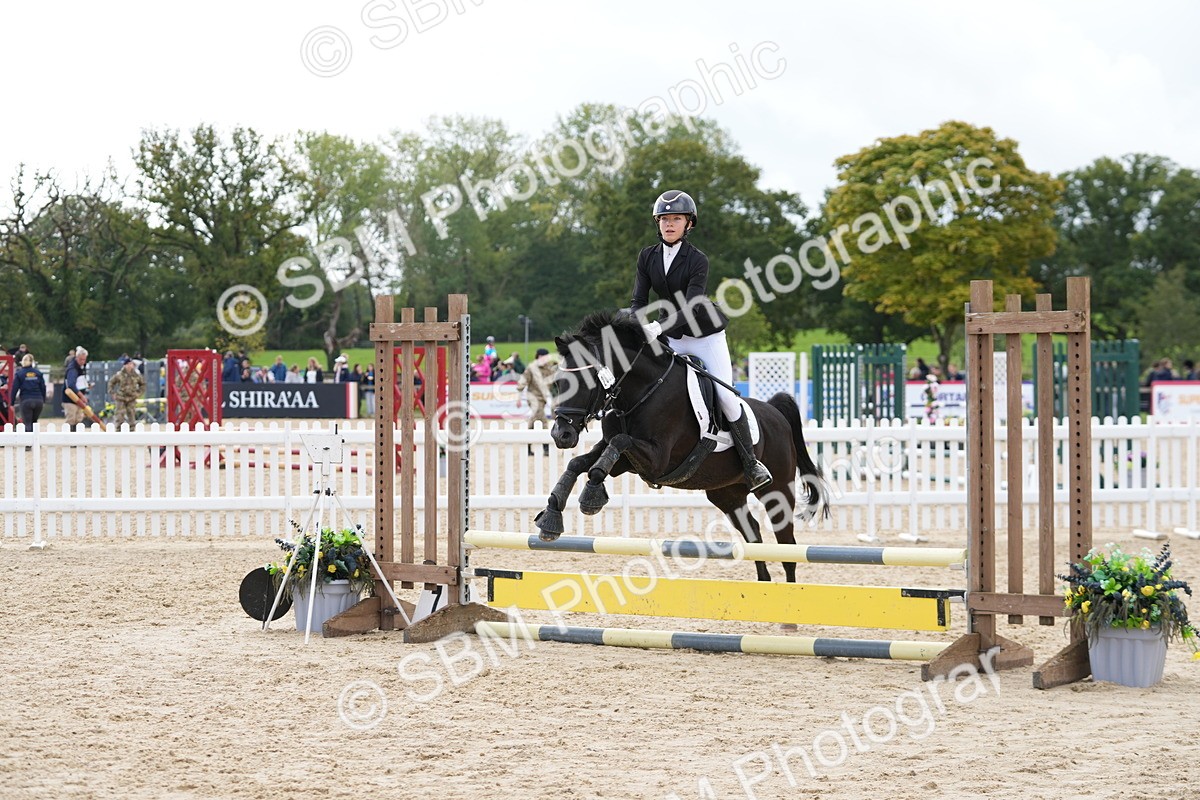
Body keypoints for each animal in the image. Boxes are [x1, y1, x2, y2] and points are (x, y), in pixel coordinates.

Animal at [535, 310, 829, 584]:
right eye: (558, 382)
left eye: (586, 382)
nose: (561, 435)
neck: (641, 391)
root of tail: (775, 411)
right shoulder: (621, 459)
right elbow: (580, 462)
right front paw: (552, 514)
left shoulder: (656, 460)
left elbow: (616, 446)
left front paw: (591, 496)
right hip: (728, 494)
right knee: (754, 536)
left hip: (777, 491)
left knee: (787, 547)